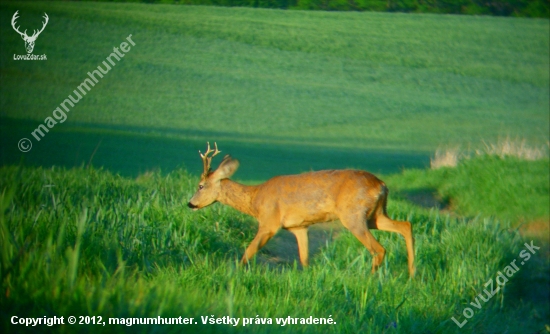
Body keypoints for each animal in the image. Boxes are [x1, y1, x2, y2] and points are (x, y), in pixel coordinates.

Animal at [188, 142, 416, 276]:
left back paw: (370, 278)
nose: (190, 204)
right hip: (375, 215)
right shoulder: (299, 227)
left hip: (354, 217)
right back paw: (412, 274)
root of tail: (381, 185)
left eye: (200, 186)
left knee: (379, 249)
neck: (256, 199)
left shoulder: (269, 222)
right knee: (405, 225)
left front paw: (234, 272)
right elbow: (304, 259)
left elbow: (249, 251)